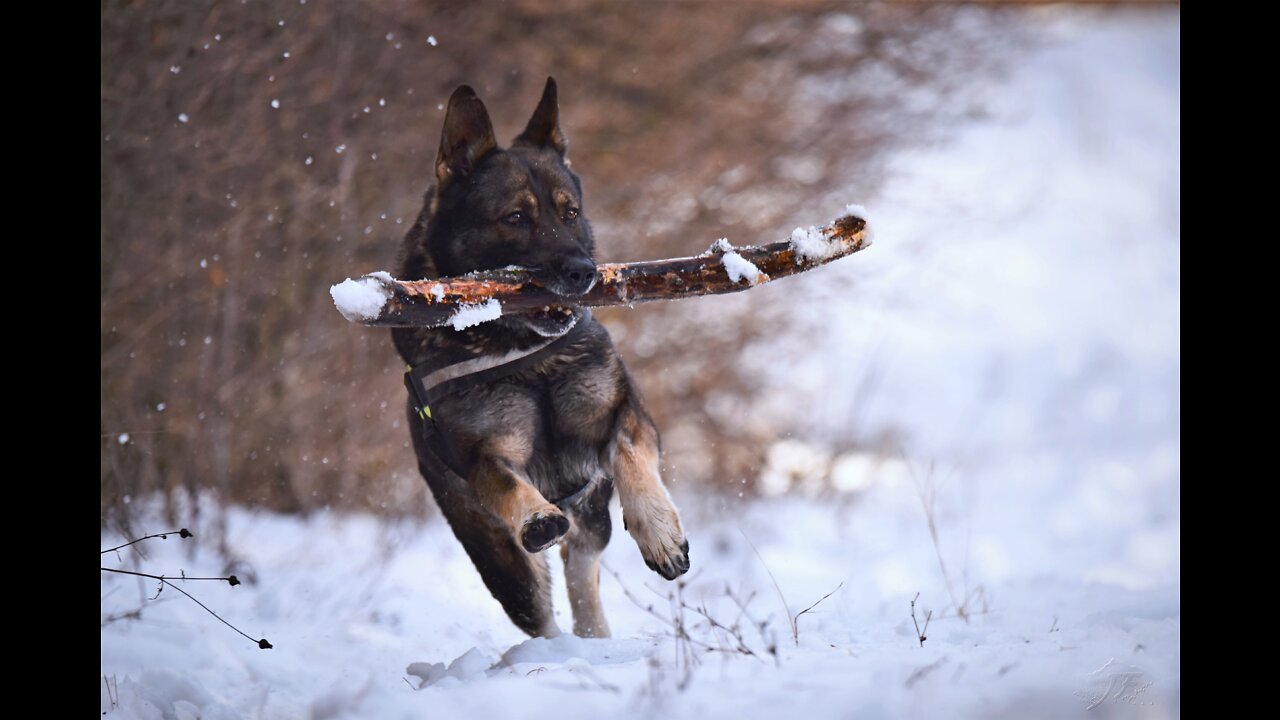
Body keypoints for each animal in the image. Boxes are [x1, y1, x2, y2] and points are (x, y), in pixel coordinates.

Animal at [389, 78, 691, 635]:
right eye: (515, 218)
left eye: (569, 212)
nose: (583, 272)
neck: (526, 355)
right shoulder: (482, 457)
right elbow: (508, 485)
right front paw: (535, 514)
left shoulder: (628, 411)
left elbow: (630, 454)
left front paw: (660, 531)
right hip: (502, 564)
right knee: (541, 607)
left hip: (591, 518)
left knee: (583, 568)